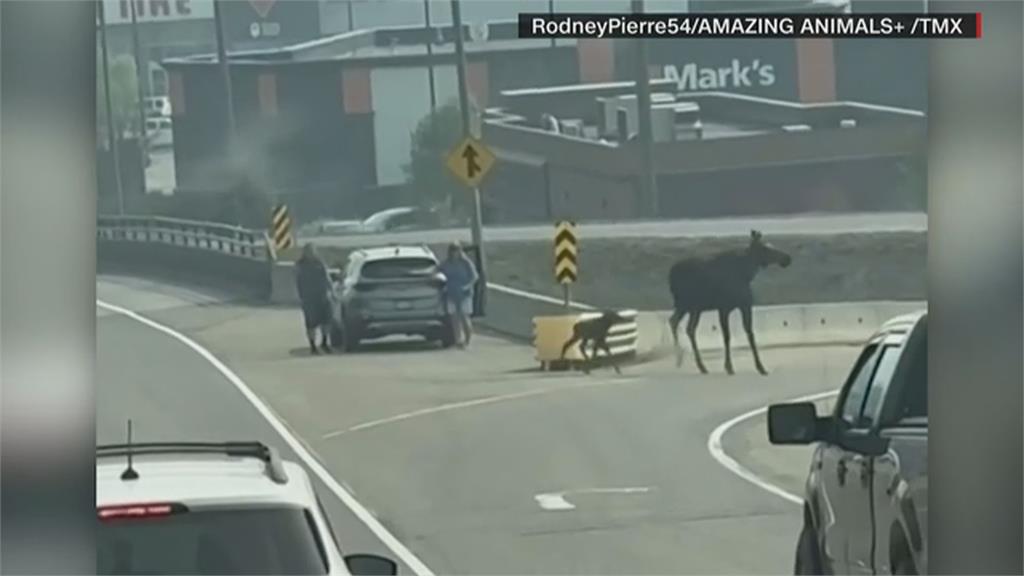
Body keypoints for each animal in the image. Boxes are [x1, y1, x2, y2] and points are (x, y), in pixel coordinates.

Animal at [671, 230, 790, 375]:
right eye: (765, 248)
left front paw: (760, 367)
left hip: (693, 308)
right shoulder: (724, 309)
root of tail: (670, 275)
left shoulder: (745, 306)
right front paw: (729, 366)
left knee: (685, 326)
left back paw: (696, 364)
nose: (787, 258)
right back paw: (682, 359)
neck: (746, 274)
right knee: (678, 323)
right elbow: (727, 337)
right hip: (686, 305)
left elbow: (750, 334)